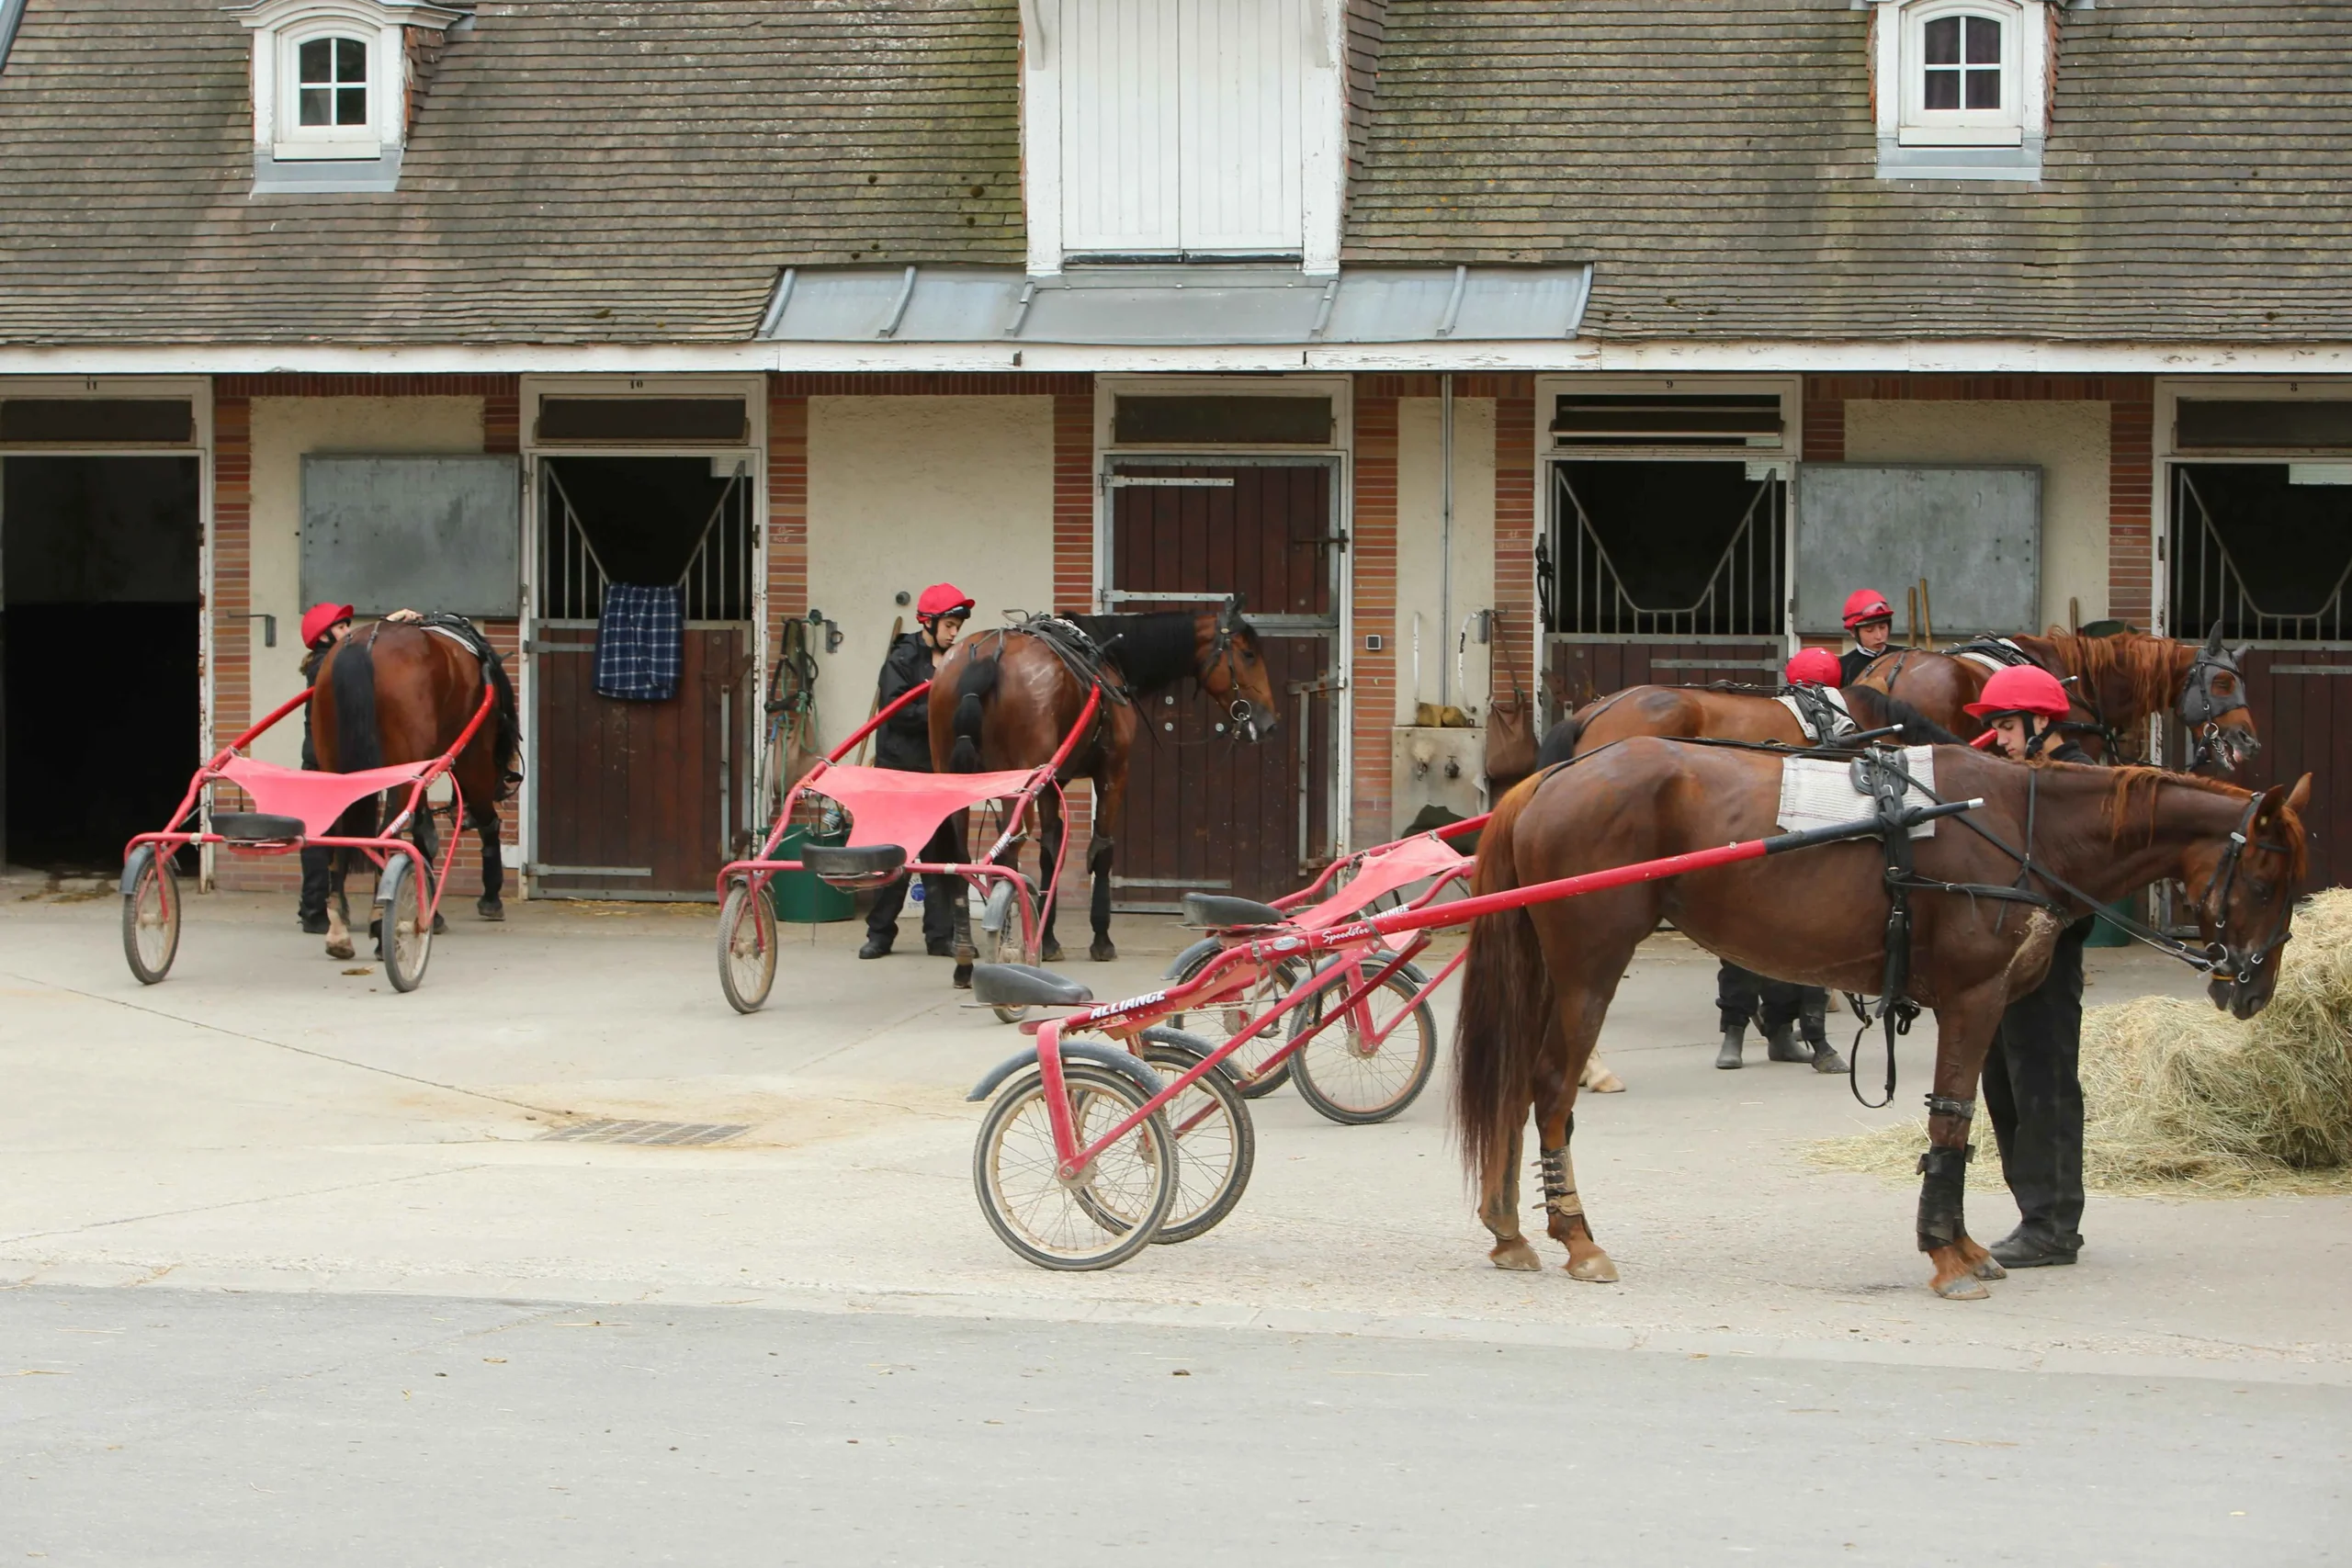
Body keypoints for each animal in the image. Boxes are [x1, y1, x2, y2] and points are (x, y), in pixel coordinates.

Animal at [310, 620, 522, 964]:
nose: (504, 783)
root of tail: (366, 643)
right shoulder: (472, 758)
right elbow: (485, 824)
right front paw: (490, 897)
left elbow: (423, 835)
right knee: (386, 833)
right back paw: (380, 923)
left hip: (335, 767)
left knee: (339, 838)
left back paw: (339, 927)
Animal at [922, 611, 1288, 968]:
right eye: (1249, 654)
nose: (1269, 722)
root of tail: (987, 655)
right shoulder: (1113, 771)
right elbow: (1101, 848)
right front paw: (1101, 938)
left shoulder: (1054, 783)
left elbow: (1051, 850)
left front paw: (1049, 937)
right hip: (1018, 782)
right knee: (1007, 854)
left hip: (955, 778)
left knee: (959, 858)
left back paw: (964, 948)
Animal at [1458, 742, 2304, 1306]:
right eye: (2265, 880)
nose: (2254, 988)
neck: (2021, 827)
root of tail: (1554, 775)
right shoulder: (1973, 997)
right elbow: (1951, 1120)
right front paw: (1947, 1254)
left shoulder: (1989, 1002)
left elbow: (1965, 1123)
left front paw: (1962, 1242)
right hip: (1590, 969)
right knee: (1550, 1089)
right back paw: (1577, 1237)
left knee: (1515, 1084)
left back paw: (1509, 1227)